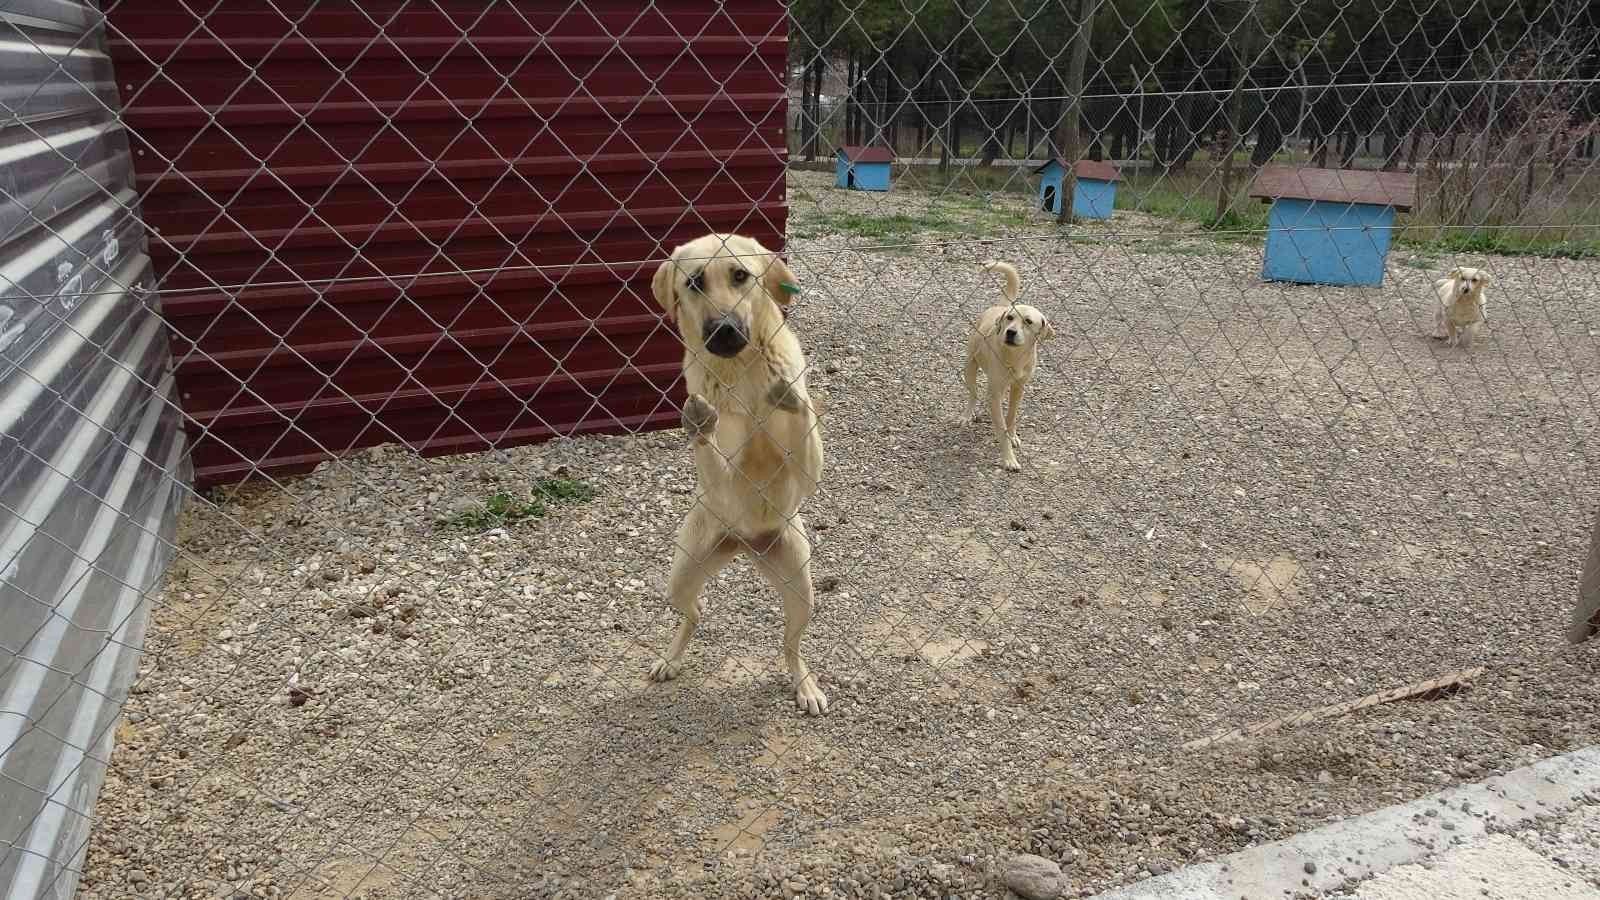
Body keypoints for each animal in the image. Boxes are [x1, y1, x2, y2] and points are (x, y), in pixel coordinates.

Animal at [646, 230, 832, 714]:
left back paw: (805, 685)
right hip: (682, 575)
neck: (741, 371)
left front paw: (789, 394)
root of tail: (744, 543)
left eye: (740, 276)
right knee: (695, 614)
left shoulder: (807, 469)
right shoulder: (723, 472)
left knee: (791, 644)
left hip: (801, 591)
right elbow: (710, 446)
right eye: (695, 282)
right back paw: (670, 659)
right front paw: (699, 421)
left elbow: (801, 414)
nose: (724, 330)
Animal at [966, 259, 1056, 470]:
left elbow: (1012, 416)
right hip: (970, 367)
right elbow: (1001, 428)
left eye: (1028, 321)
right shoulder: (994, 395)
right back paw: (966, 415)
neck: (1015, 357)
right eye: (1010, 318)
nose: (1010, 332)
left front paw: (1013, 436)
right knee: (973, 393)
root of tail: (1001, 306)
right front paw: (1009, 458)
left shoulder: (1019, 387)